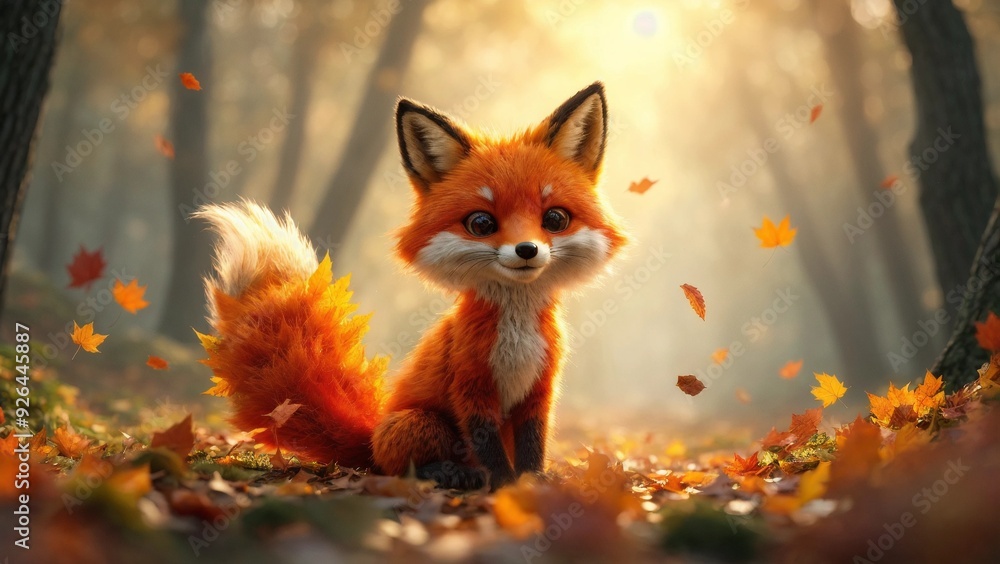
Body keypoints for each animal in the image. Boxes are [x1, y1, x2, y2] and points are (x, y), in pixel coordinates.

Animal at [196, 82, 628, 490]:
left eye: (555, 219)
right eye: (481, 223)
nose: (527, 250)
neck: (516, 333)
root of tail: (371, 440)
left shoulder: (539, 390)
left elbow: (533, 445)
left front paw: (533, 482)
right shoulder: (471, 387)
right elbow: (488, 449)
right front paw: (506, 486)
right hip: (419, 423)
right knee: (402, 467)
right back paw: (450, 474)